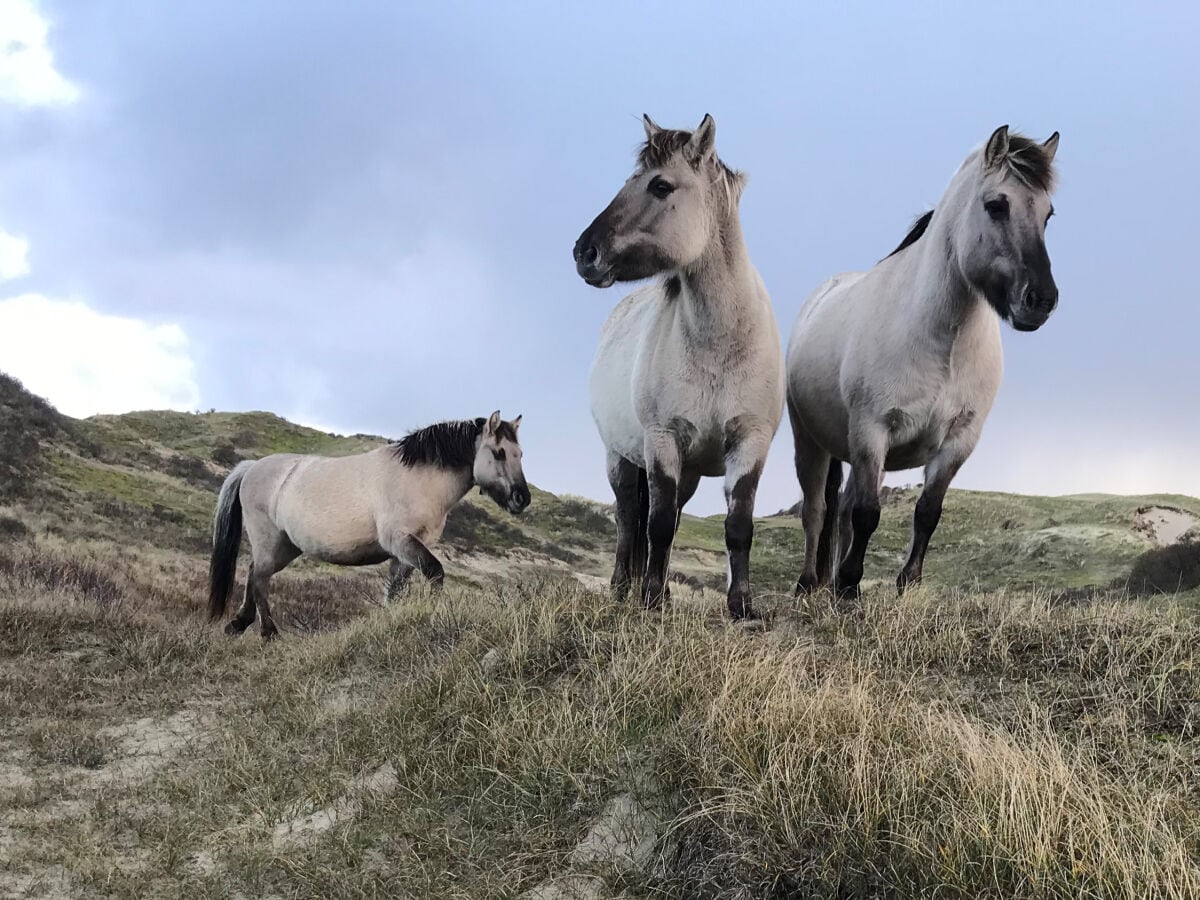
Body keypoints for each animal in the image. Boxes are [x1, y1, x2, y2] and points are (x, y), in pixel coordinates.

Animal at [207, 412, 530, 638]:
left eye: (520, 454)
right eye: (499, 452)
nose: (522, 498)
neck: (419, 478)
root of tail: (252, 467)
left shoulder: (405, 551)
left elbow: (395, 590)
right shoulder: (400, 541)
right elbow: (435, 572)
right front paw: (435, 615)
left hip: (285, 547)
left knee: (253, 572)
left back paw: (239, 623)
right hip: (269, 541)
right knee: (260, 579)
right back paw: (269, 633)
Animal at [573, 114, 787, 619]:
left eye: (660, 185)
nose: (584, 253)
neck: (719, 344)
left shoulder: (749, 445)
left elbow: (737, 526)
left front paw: (742, 605)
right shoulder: (662, 442)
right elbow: (656, 525)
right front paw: (650, 598)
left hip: (687, 471)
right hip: (620, 459)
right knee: (629, 517)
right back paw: (623, 588)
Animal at [787, 125, 1060, 600]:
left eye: (1048, 214)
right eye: (996, 205)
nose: (1040, 300)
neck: (942, 344)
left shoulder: (958, 442)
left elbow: (927, 512)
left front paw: (906, 585)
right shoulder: (872, 432)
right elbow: (868, 514)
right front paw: (850, 586)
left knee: (840, 511)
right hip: (811, 442)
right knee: (817, 510)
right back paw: (811, 583)